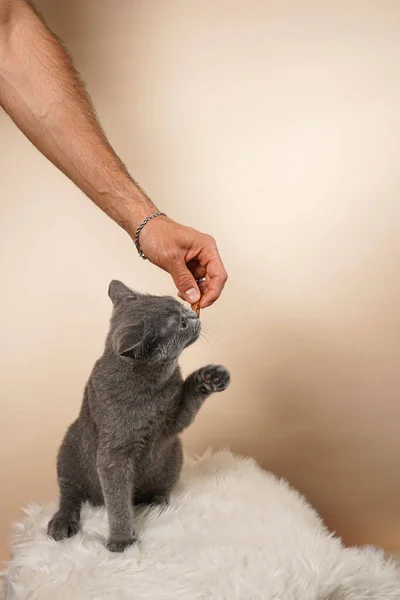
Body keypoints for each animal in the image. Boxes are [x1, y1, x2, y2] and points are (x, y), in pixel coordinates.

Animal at [47, 282, 230, 552]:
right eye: (180, 324)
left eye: (181, 305)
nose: (193, 315)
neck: (151, 385)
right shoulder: (114, 453)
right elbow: (118, 500)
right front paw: (122, 541)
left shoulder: (171, 425)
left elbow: (186, 404)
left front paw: (211, 376)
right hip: (70, 448)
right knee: (70, 493)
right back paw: (62, 522)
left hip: (173, 456)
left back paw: (157, 502)